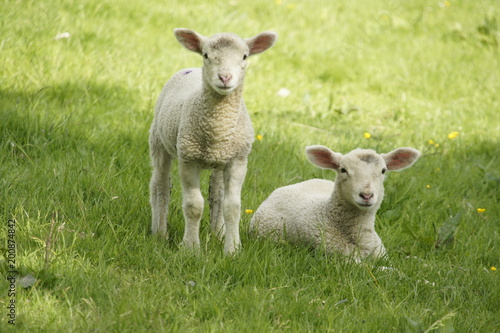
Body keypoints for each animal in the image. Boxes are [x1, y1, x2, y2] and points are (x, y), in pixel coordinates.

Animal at [150, 28, 280, 254]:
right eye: (206, 55)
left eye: (244, 56)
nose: (225, 77)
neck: (218, 129)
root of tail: (191, 69)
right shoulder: (188, 159)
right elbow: (194, 206)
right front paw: (191, 248)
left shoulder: (237, 161)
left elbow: (232, 206)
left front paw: (232, 249)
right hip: (159, 141)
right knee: (160, 184)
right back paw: (159, 232)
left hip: (221, 161)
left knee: (217, 192)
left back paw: (218, 233)